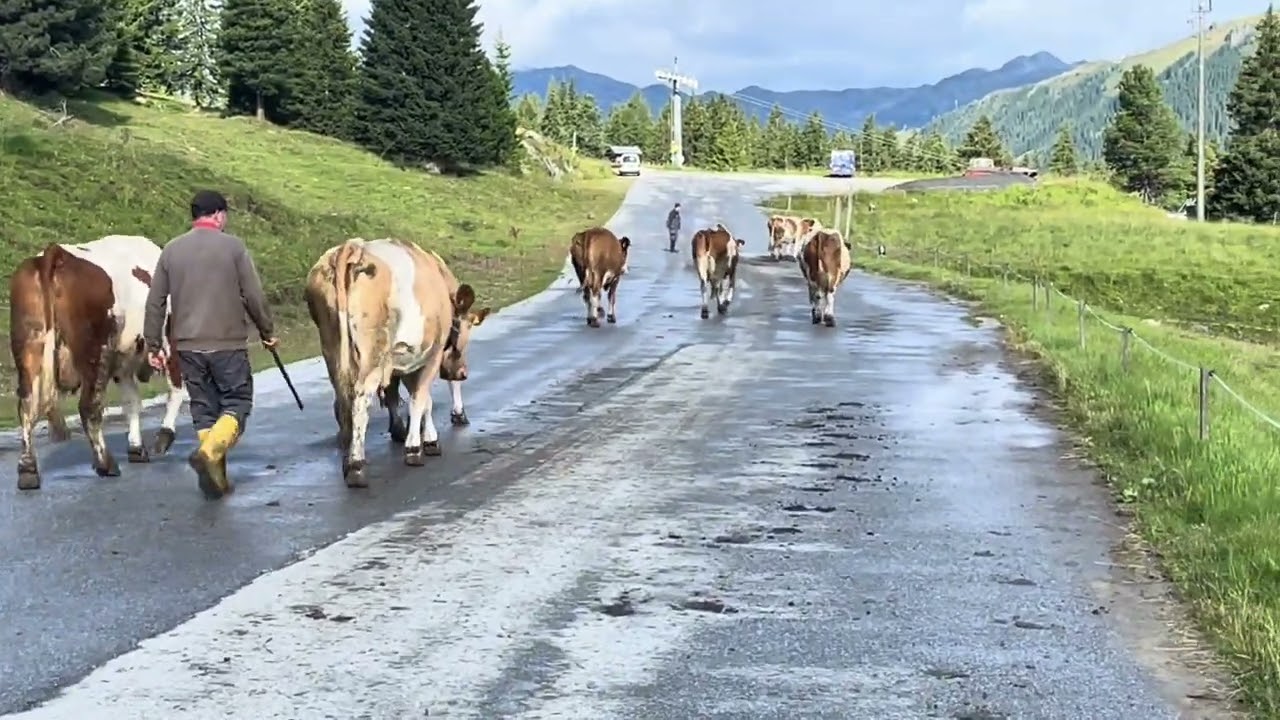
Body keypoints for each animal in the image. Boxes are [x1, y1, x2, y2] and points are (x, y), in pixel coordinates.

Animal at [8, 235, 187, 490]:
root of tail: (57, 253)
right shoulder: (171, 345)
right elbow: (176, 391)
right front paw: (163, 437)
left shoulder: (123, 362)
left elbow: (132, 402)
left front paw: (136, 448)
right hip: (96, 351)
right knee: (89, 406)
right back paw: (106, 464)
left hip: (29, 347)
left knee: (26, 405)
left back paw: (28, 471)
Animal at [304, 238, 490, 488]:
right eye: (466, 330)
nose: (461, 373)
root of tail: (353, 247)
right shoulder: (429, 355)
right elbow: (420, 399)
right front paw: (419, 445)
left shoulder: (397, 361)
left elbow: (402, 396)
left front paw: (406, 433)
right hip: (372, 353)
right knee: (360, 399)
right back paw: (356, 467)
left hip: (331, 347)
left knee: (343, 400)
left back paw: (347, 459)